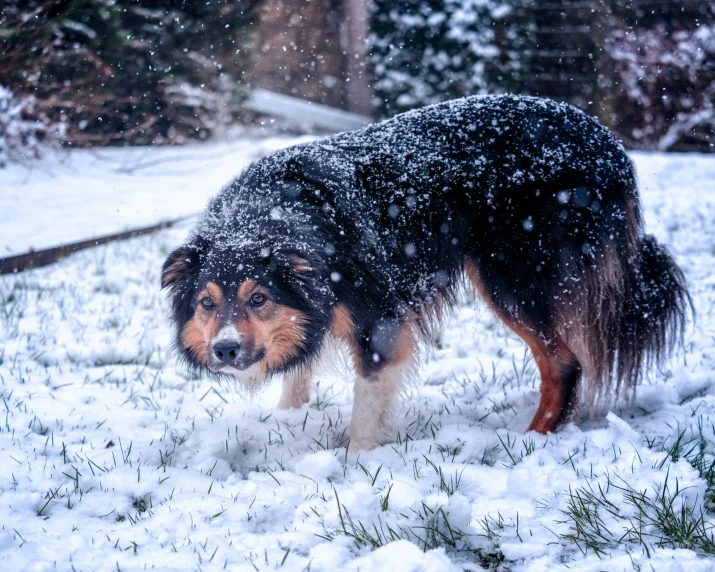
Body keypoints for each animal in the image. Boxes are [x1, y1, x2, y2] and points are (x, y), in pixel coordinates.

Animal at [161, 92, 688, 452]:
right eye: (206, 303)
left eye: (259, 298)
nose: (226, 350)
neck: (272, 214)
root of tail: (606, 143)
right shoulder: (314, 310)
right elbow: (297, 375)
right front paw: (289, 424)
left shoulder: (378, 320)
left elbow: (367, 403)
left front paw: (357, 467)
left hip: (510, 275)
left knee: (565, 363)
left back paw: (530, 441)